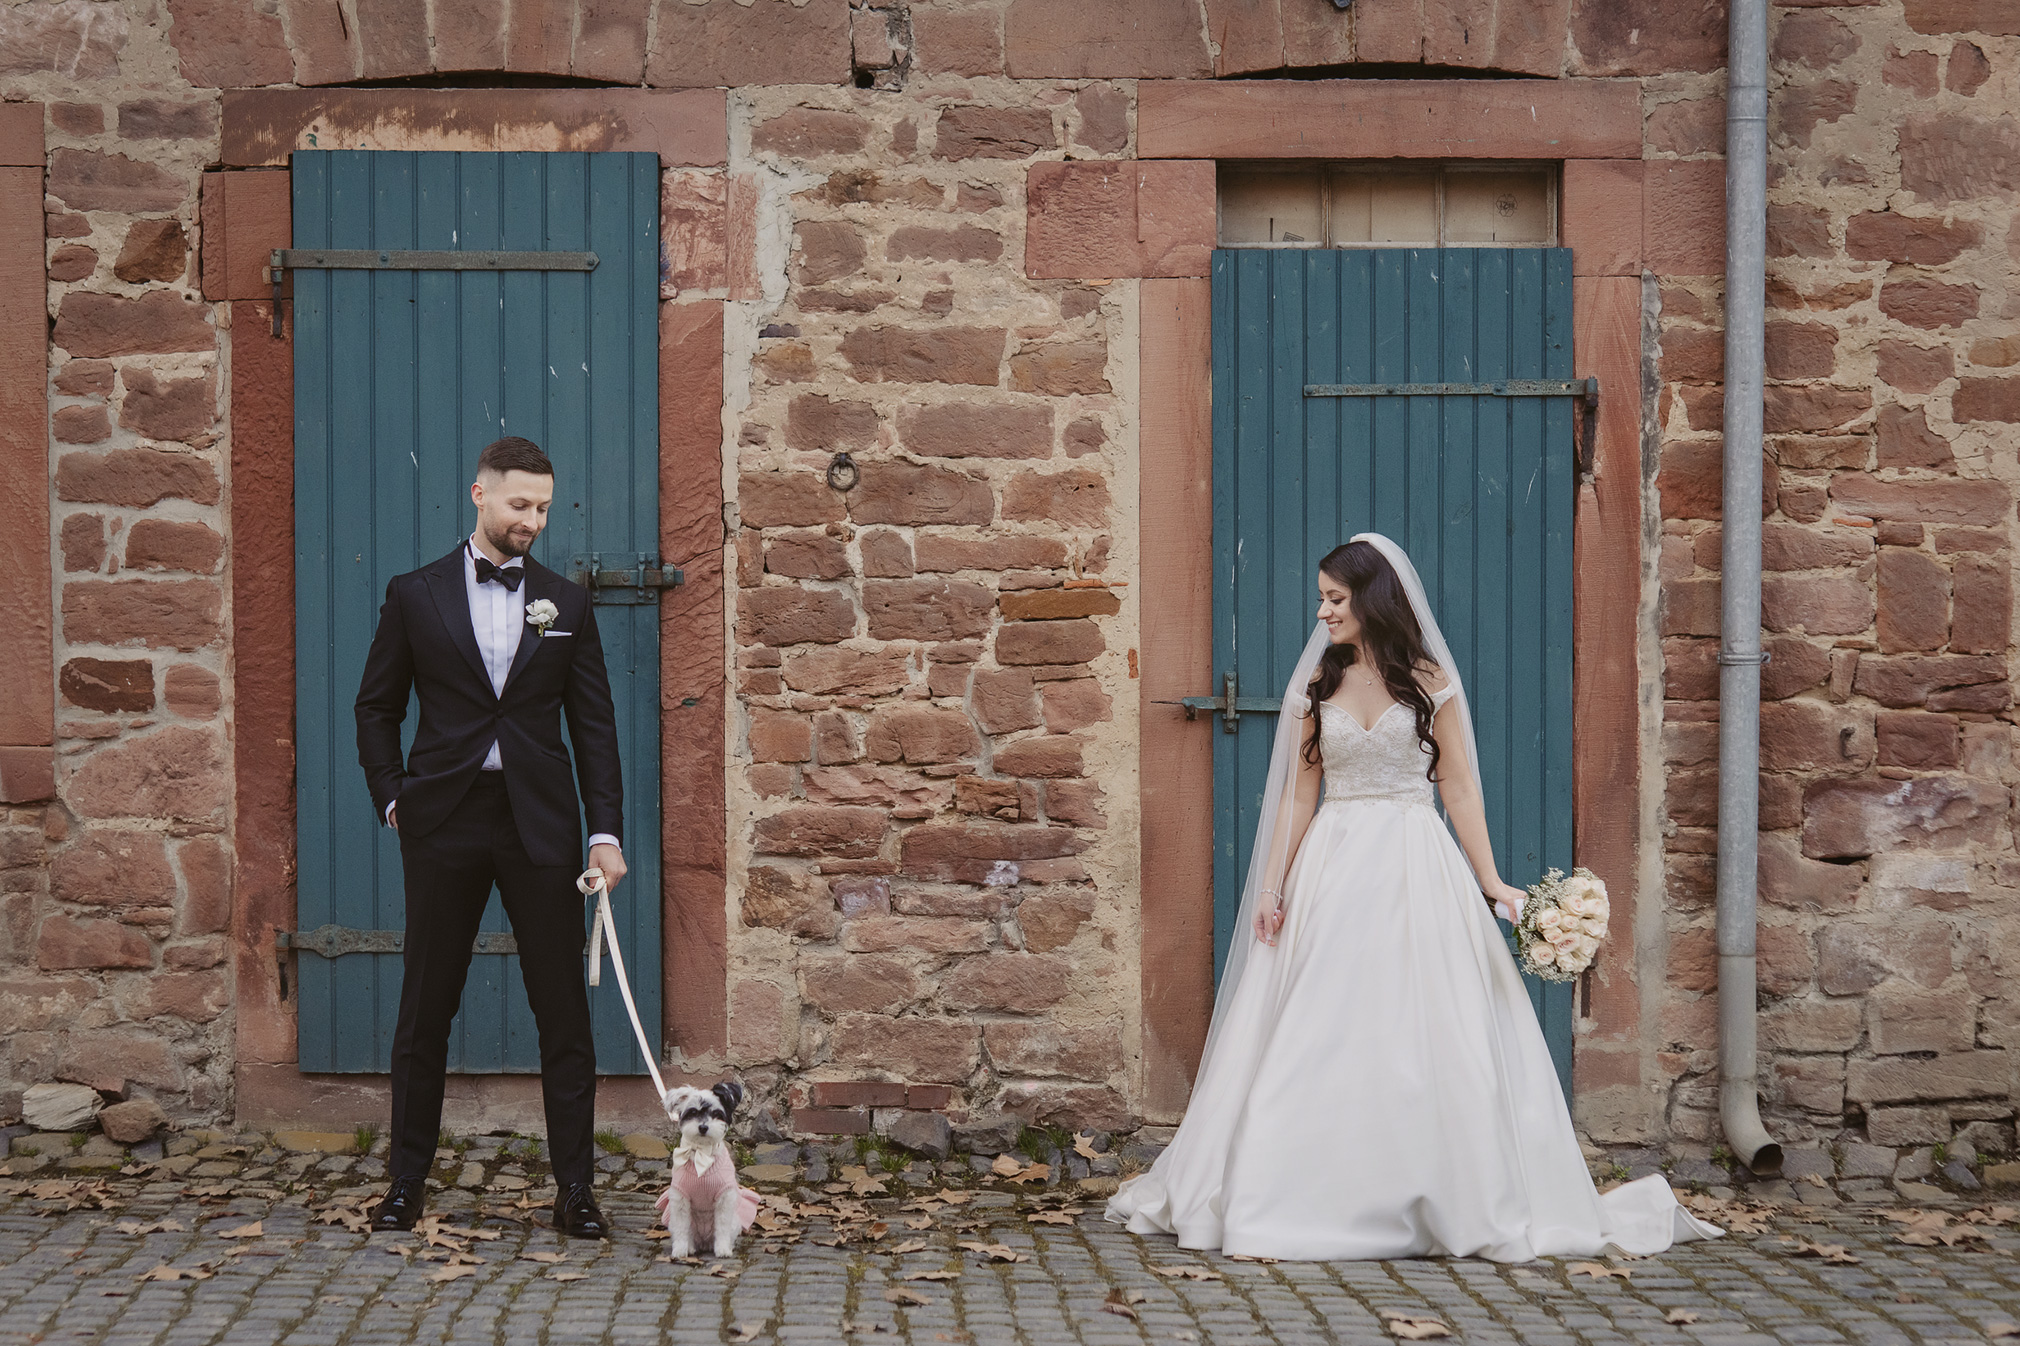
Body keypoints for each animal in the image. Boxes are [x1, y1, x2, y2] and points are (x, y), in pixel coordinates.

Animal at [654, 1075, 759, 1253]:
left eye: (716, 1114)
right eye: (693, 1112)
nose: (703, 1127)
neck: (701, 1153)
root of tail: (704, 1242)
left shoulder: (724, 1200)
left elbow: (722, 1227)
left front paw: (723, 1249)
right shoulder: (680, 1200)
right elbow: (682, 1229)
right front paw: (679, 1251)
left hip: (734, 1222)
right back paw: (689, 1248)